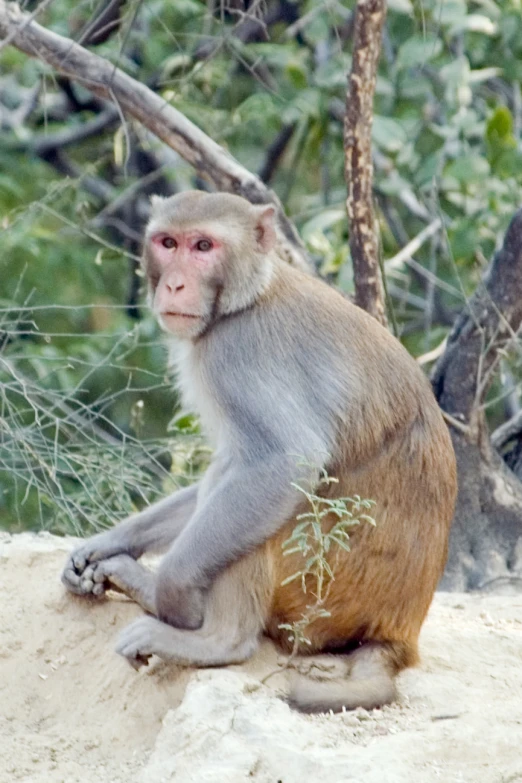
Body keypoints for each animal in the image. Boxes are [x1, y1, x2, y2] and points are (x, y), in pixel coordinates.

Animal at [61, 191, 452, 716]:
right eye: (168, 243)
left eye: (203, 246)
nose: (175, 283)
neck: (248, 296)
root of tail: (399, 633)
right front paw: (106, 543)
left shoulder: (235, 353)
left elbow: (282, 462)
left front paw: (173, 594)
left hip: (321, 597)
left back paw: (214, 639)